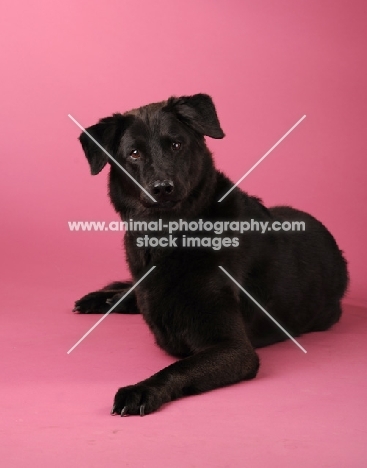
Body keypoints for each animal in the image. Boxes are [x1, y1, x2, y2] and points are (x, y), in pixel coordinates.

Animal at [73, 93, 350, 414]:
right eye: (134, 154)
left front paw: (141, 390)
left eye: (176, 144)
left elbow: (178, 368)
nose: (162, 188)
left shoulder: (236, 349)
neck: (168, 237)